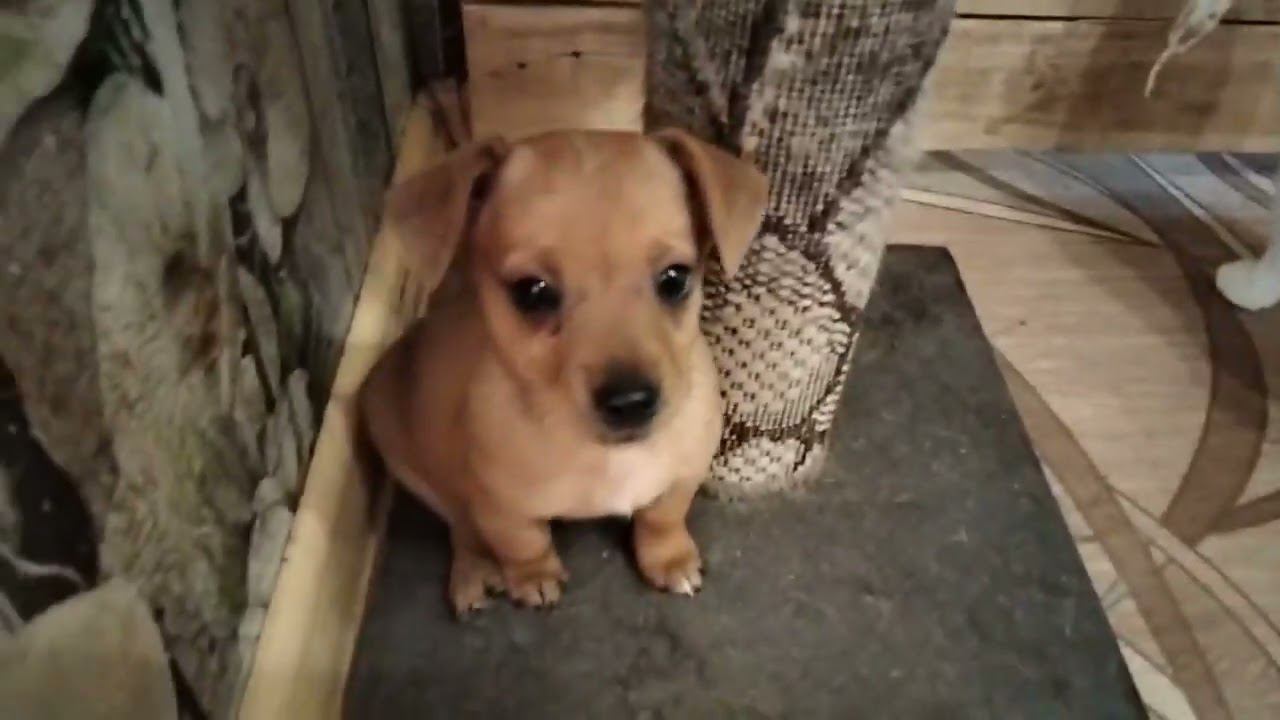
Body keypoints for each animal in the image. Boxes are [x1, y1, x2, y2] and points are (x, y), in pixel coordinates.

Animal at [358, 129, 768, 615]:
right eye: (533, 292)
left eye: (675, 279)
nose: (631, 402)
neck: (608, 456)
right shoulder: (499, 503)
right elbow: (522, 541)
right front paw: (534, 577)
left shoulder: (686, 469)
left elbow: (663, 516)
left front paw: (670, 559)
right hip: (414, 465)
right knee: (463, 525)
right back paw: (475, 571)